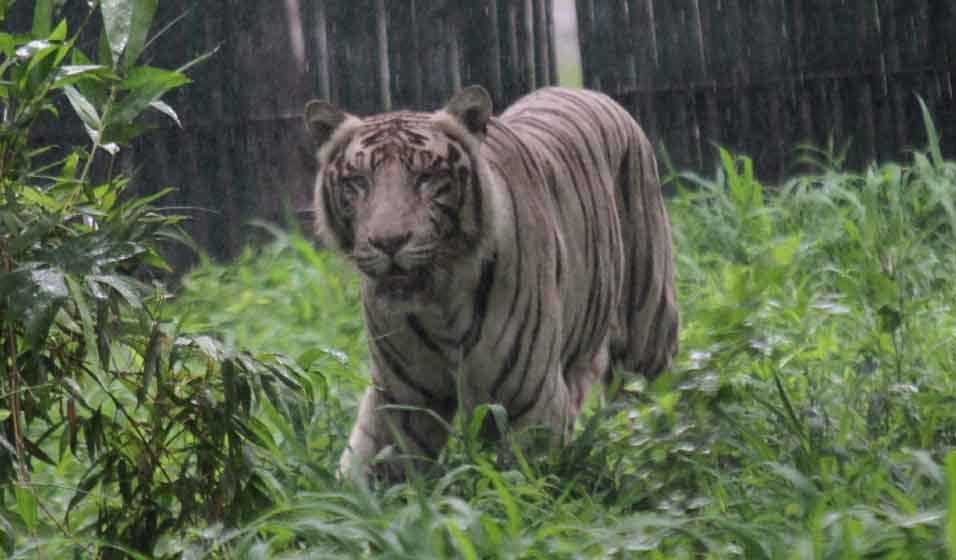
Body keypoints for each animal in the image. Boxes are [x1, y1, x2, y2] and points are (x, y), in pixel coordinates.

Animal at [304, 86, 678, 480]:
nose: (388, 242)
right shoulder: (402, 398)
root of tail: (588, 91)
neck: (440, 304)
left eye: (426, 177)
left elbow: (522, 482)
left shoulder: (531, 402)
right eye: (357, 182)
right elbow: (368, 472)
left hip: (646, 341)